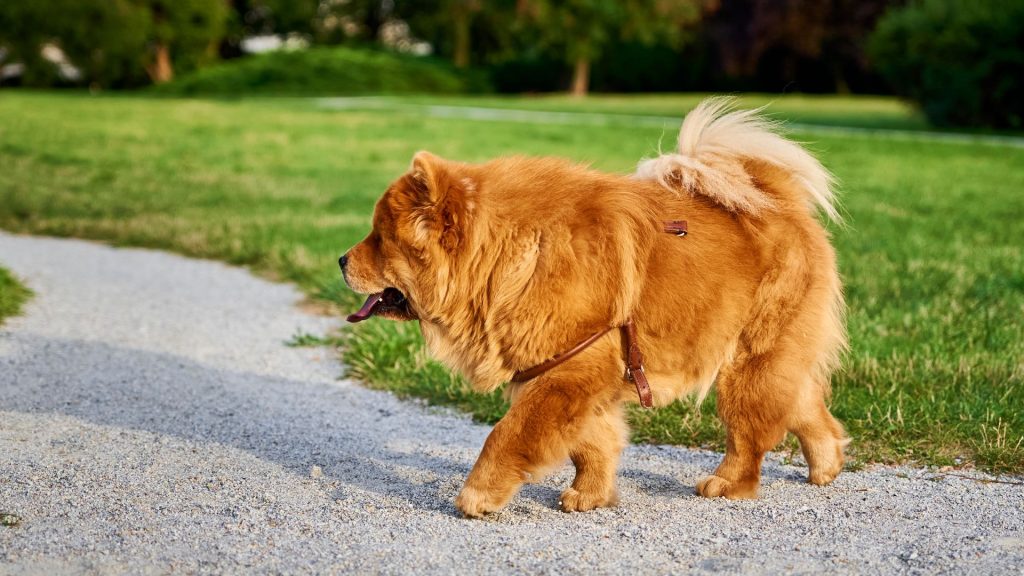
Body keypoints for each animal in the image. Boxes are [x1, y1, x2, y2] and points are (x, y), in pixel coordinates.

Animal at [339, 97, 843, 516]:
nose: (342, 259)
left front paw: (477, 496)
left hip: (748, 363)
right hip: (768, 360)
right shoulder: (573, 377)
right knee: (805, 405)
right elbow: (592, 445)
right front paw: (590, 495)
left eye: (379, 238)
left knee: (750, 434)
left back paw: (727, 484)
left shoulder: (566, 372)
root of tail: (779, 199)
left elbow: (507, 435)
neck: (511, 257)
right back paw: (828, 464)